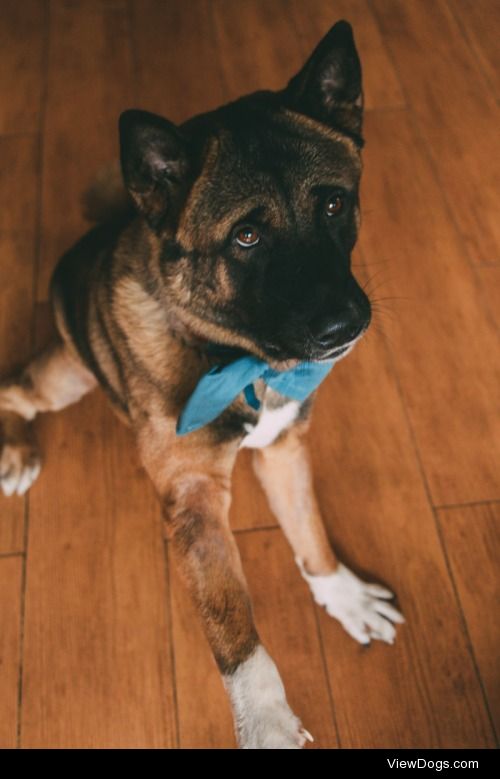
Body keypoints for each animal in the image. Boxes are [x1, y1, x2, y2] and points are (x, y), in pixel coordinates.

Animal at [0, 19, 404, 748]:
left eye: (335, 203)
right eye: (245, 237)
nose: (345, 324)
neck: (238, 355)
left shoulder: (283, 451)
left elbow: (309, 532)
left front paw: (343, 593)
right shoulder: (195, 501)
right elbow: (236, 632)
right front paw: (267, 719)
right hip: (63, 377)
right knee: (12, 388)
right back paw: (15, 449)